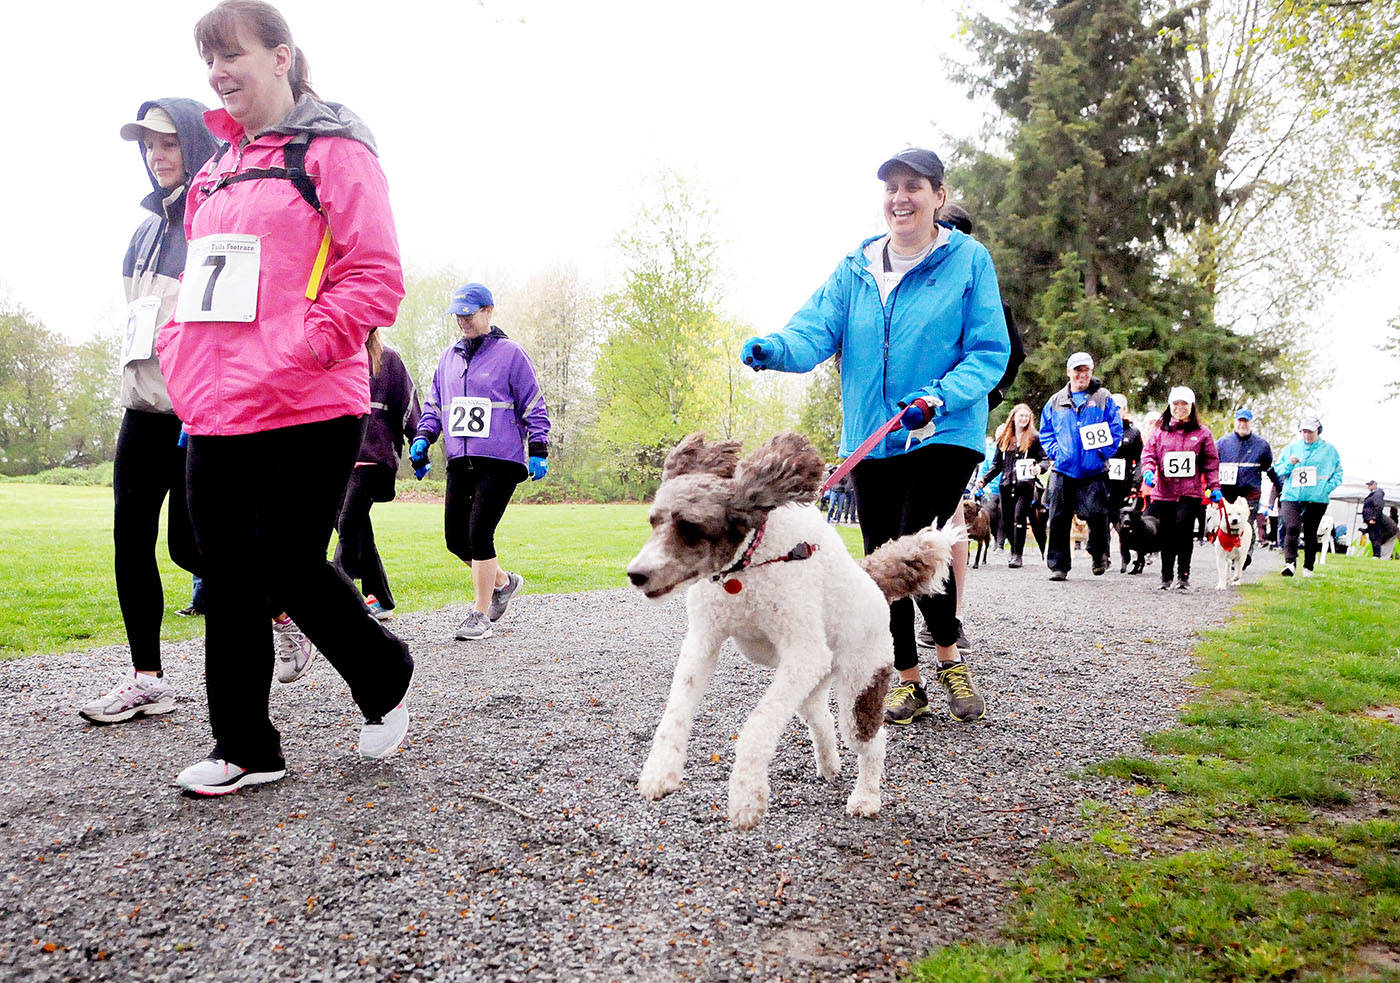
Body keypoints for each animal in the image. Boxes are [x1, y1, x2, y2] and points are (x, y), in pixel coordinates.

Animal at [630, 434, 957, 828]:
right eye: (653, 522)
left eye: (691, 529)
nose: (635, 574)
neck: (747, 567)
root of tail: (872, 578)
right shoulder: (704, 640)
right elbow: (676, 709)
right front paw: (660, 771)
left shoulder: (804, 653)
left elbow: (757, 725)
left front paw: (746, 796)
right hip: (811, 685)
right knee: (821, 717)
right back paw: (829, 764)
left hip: (860, 683)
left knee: (871, 742)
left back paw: (866, 797)